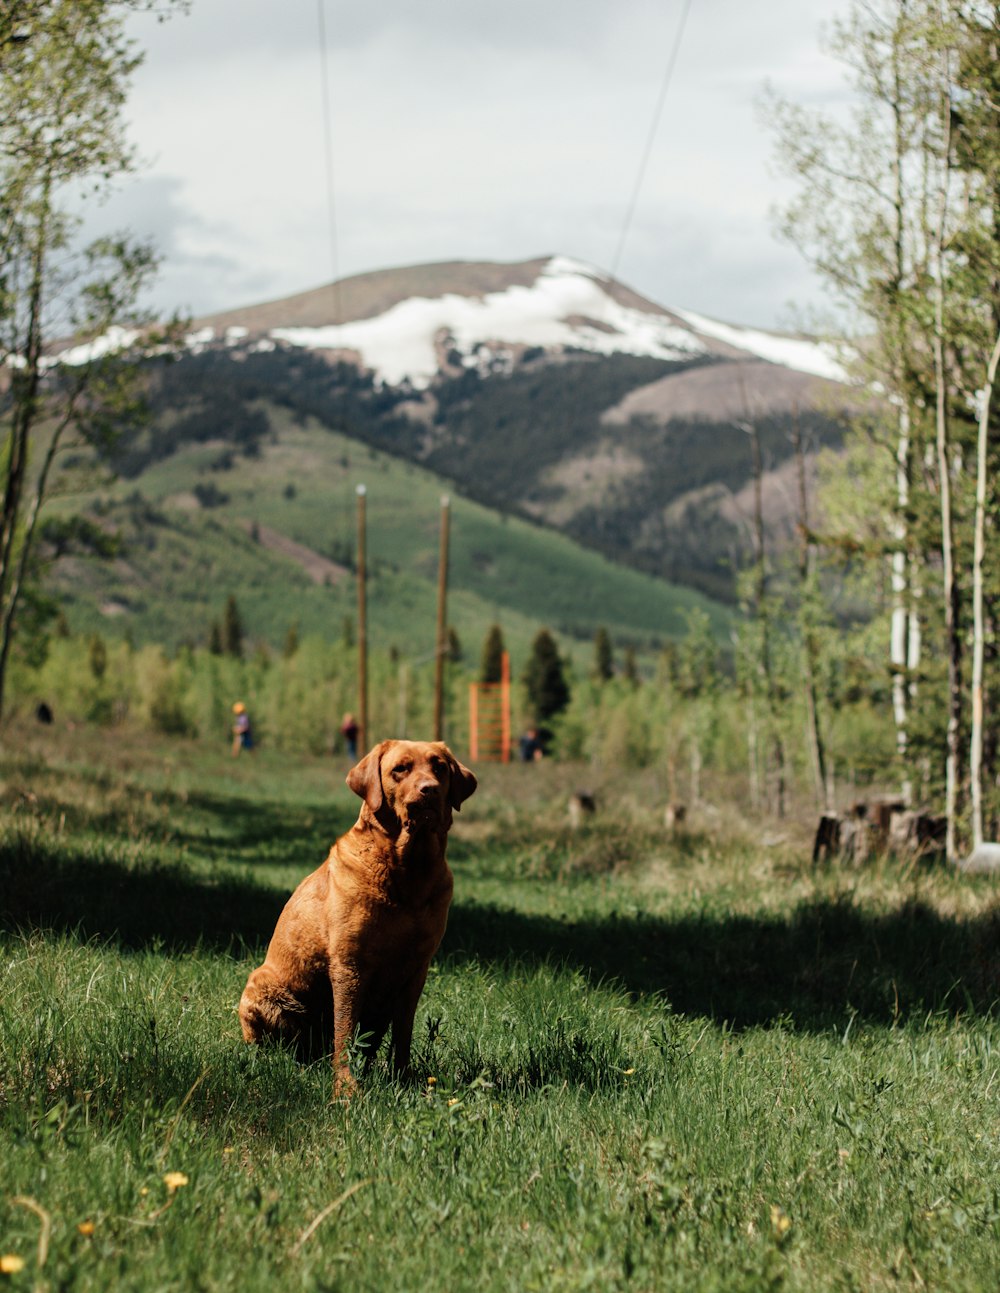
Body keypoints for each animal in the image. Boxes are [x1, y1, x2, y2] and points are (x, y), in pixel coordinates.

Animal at [240, 744, 476, 1096]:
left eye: (440, 768)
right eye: (400, 769)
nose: (430, 789)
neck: (409, 871)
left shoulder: (416, 969)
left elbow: (403, 1034)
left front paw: (403, 1080)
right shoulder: (349, 965)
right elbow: (345, 1031)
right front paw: (346, 1088)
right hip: (262, 988)